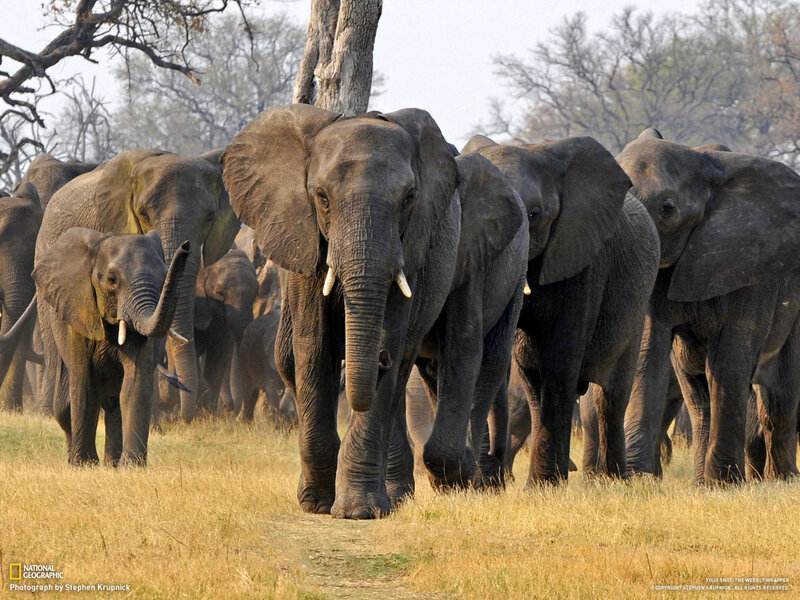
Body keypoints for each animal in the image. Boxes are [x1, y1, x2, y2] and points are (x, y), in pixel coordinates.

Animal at [33, 228, 189, 465]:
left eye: (163, 276)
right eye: (112, 280)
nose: (186, 246)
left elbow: (135, 385)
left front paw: (132, 467)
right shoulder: (79, 312)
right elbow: (85, 385)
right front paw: (84, 465)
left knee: (115, 405)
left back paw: (112, 463)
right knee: (64, 406)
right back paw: (75, 460)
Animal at [222, 104, 523, 518]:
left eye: (409, 198)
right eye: (321, 196)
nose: (377, 359)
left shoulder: (419, 254)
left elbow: (435, 349)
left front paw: (357, 512)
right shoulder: (303, 240)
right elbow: (313, 348)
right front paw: (317, 504)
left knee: (474, 361)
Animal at [465, 134, 661, 484]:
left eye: (534, 214)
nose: (490, 475)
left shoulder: (585, 260)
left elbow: (558, 362)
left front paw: (541, 487)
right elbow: (532, 371)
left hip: (637, 307)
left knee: (611, 398)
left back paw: (613, 481)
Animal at [618, 128, 800, 484]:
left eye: (667, 208)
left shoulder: (751, 265)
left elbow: (730, 359)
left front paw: (725, 483)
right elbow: (648, 354)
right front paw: (637, 479)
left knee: (780, 397)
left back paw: (780, 479)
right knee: (698, 392)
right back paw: (703, 484)